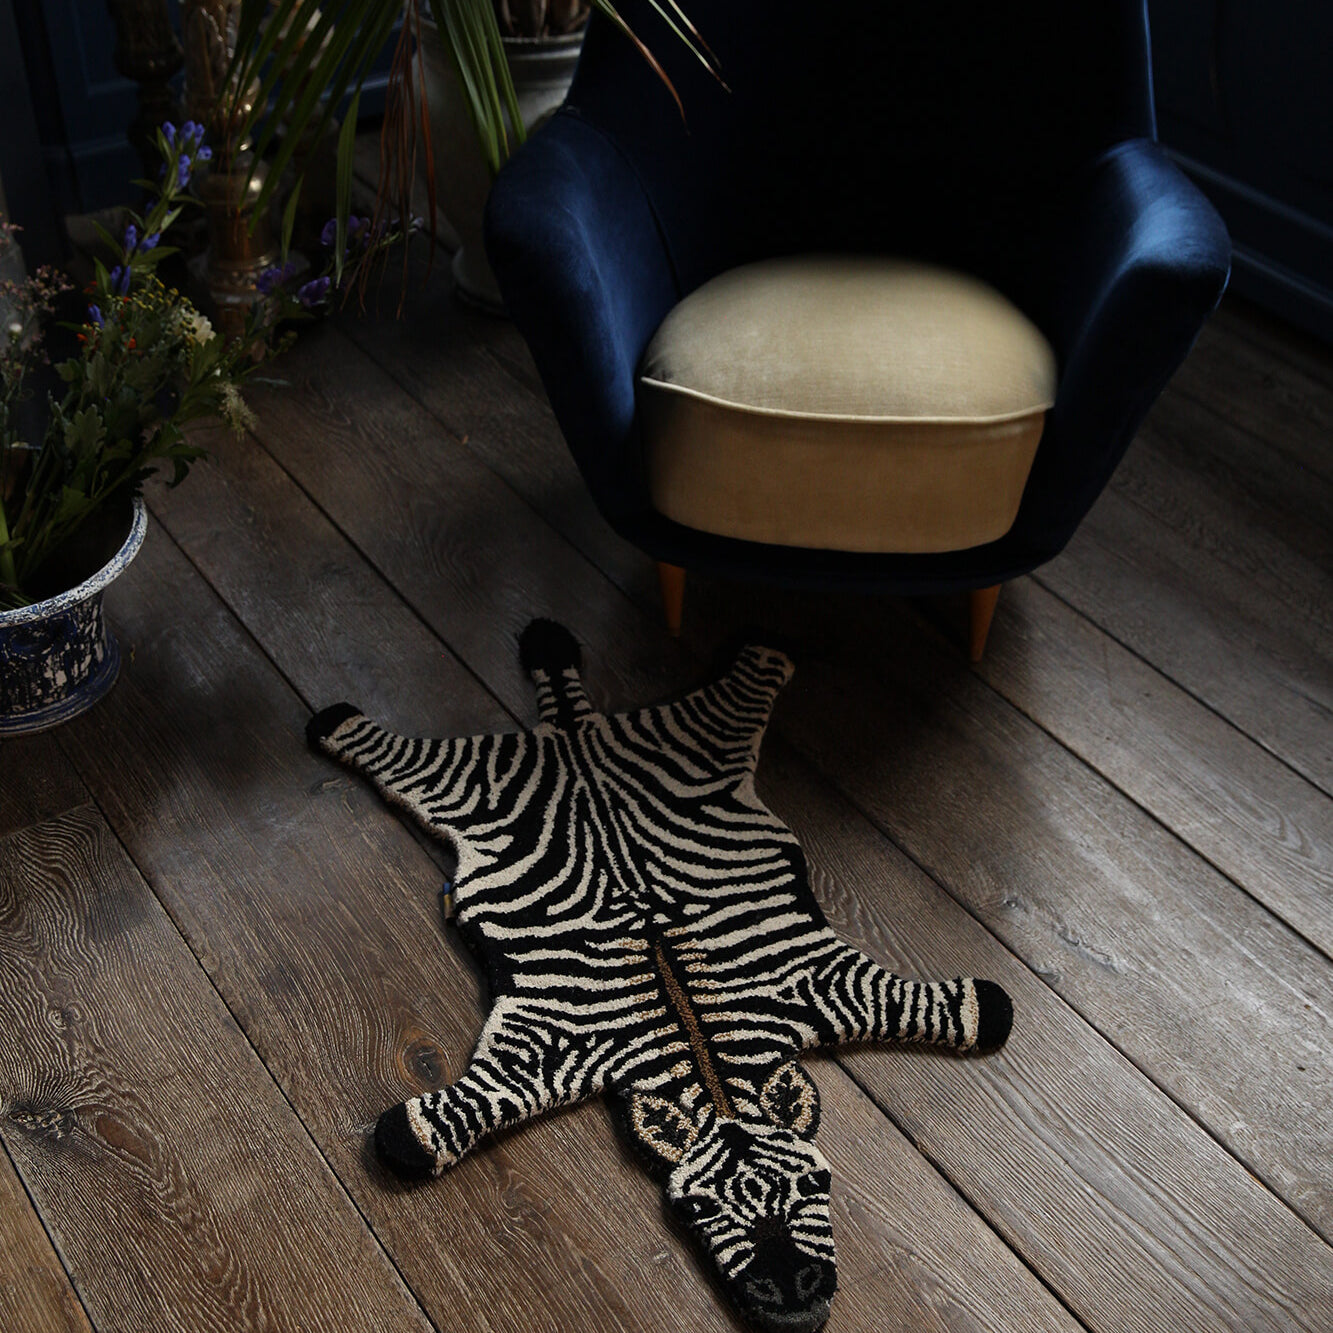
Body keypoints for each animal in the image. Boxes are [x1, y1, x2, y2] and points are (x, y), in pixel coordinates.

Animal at [307, 620, 1012, 1332]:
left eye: (819, 1183)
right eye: (692, 1209)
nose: (794, 1309)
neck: (701, 1049)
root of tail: (572, 730)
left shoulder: (826, 984)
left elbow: (944, 1008)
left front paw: (985, 1004)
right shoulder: (547, 1050)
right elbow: (460, 1111)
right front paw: (406, 1134)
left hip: (691, 738)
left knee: (740, 691)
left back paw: (749, 649)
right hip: (461, 786)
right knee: (396, 754)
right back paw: (342, 720)